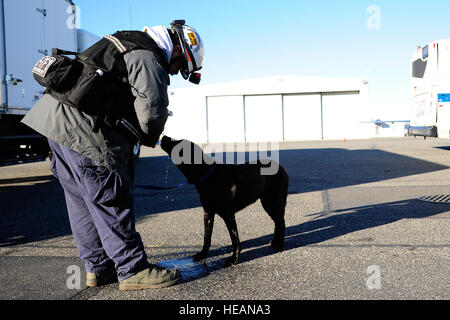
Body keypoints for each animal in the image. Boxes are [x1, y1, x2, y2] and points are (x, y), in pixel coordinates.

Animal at [161, 135, 288, 264]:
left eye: (178, 143)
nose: (165, 136)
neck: (207, 175)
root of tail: (280, 167)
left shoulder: (228, 215)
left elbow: (234, 239)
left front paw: (234, 259)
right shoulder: (208, 214)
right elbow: (207, 238)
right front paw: (202, 255)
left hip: (271, 202)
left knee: (281, 222)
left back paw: (279, 244)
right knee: (278, 222)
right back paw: (275, 242)